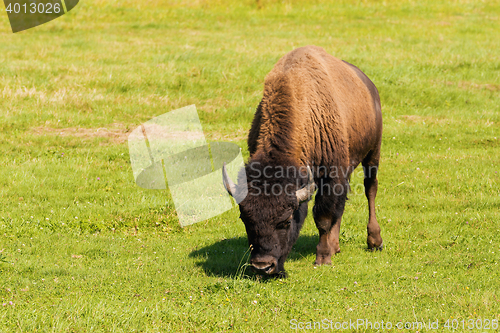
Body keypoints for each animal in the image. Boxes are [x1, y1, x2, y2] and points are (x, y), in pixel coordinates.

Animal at [222, 45, 382, 276]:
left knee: (370, 189)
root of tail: (368, 84)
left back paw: (374, 241)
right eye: (245, 219)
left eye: (286, 220)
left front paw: (323, 258)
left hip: (373, 153)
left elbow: (323, 218)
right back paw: (336, 246)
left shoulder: (330, 175)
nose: (263, 266)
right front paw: (328, 251)